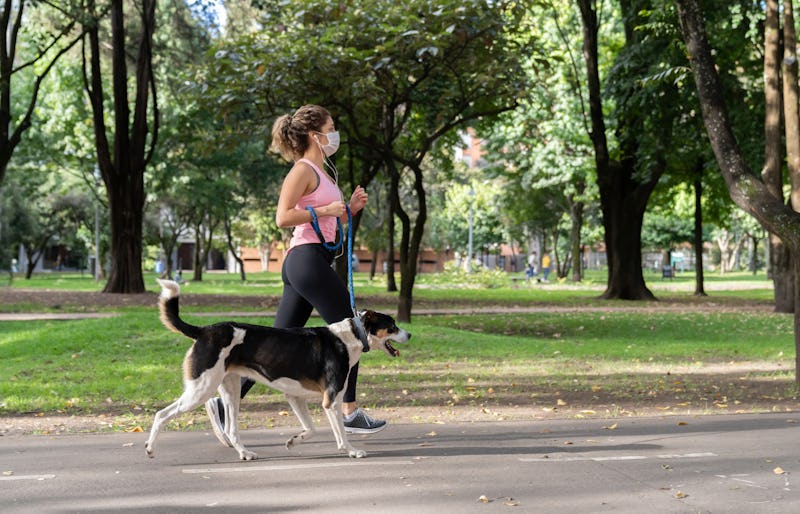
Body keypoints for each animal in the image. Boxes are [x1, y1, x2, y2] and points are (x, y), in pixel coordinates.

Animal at [142, 280, 412, 460]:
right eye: (392, 326)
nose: (410, 335)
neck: (349, 337)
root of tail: (203, 331)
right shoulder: (331, 400)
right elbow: (340, 435)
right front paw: (352, 451)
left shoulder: (294, 396)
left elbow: (311, 429)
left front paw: (294, 441)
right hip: (200, 389)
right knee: (162, 414)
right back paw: (150, 449)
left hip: (229, 390)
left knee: (230, 429)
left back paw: (245, 452)